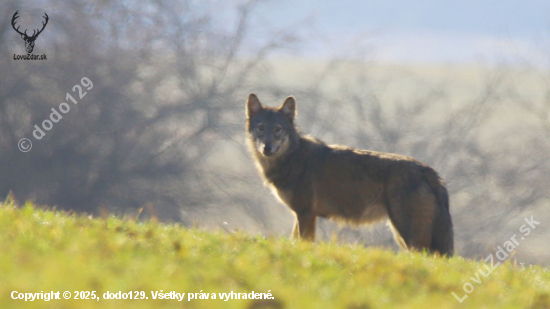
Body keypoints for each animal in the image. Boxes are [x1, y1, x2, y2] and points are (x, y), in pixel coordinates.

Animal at [248, 93, 454, 255]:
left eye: (278, 129)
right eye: (260, 128)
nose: (267, 148)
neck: (293, 157)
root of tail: (427, 170)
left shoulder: (305, 214)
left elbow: (303, 243)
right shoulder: (302, 215)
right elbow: (294, 241)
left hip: (409, 236)